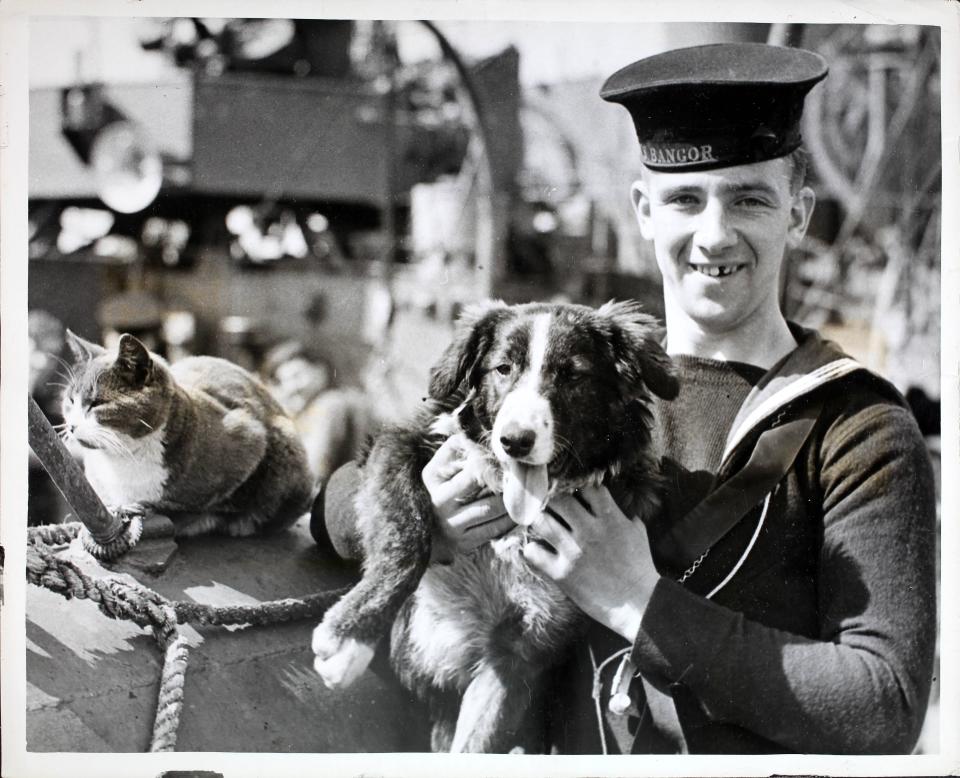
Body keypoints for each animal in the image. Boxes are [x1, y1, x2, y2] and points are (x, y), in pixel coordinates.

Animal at [60, 328, 314, 532]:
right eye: (71, 400)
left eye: (97, 403)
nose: (72, 426)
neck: (124, 459)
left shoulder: (248, 439)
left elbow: (202, 504)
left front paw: (153, 510)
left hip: (285, 443)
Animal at [312, 300, 680, 748]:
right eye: (503, 369)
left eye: (572, 374)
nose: (515, 440)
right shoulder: (398, 445)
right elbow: (408, 534)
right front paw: (351, 637)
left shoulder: (522, 648)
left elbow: (476, 740)